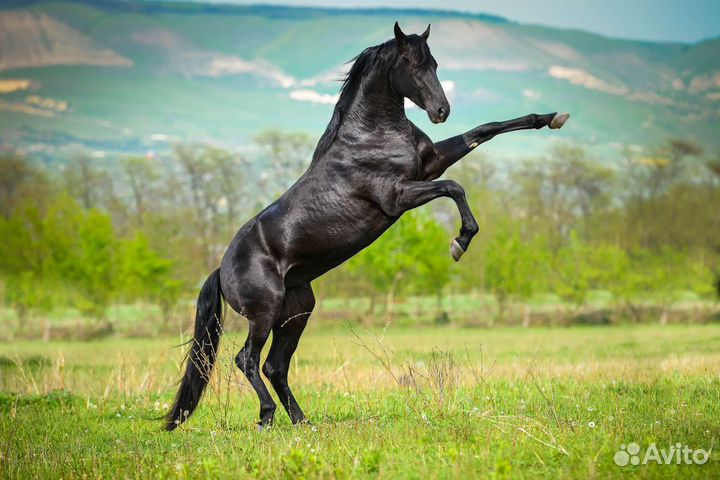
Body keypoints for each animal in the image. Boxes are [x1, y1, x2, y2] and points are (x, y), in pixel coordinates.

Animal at [166, 22, 569, 431]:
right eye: (410, 63)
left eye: (435, 63)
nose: (441, 111)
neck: (371, 135)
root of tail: (222, 268)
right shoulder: (399, 195)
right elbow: (455, 186)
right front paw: (460, 242)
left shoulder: (431, 164)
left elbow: (485, 130)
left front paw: (551, 117)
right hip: (265, 311)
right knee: (247, 359)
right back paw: (267, 416)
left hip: (297, 311)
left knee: (274, 366)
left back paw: (301, 422)